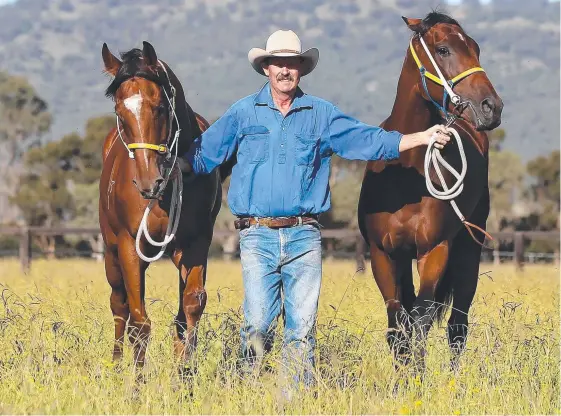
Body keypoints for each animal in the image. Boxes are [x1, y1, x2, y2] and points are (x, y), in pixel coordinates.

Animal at [99, 41, 224, 374]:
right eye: (119, 111)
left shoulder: (196, 243)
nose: (147, 182)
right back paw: (116, 366)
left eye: (160, 107)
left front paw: (185, 373)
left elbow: (191, 307)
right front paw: (137, 384)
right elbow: (139, 322)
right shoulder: (130, 246)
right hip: (111, 252)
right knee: (119, 306)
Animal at [358, 12, 504, 370]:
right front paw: (402, 375)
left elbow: (422, 319)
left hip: (468, 251)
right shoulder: (384, 255)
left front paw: (418, 377)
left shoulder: (435, 249)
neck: (405, 176)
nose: (491, 107)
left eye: (476, 48)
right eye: (443, 49)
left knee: (457, 325)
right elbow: (398, 325)